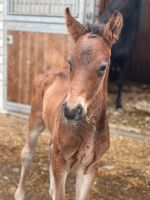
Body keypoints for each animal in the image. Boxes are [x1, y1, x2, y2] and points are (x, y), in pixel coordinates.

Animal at [14, 8, 123, 200]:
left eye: (103, 67)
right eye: (70, 62)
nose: (72, 111)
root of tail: (48, 72)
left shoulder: (90, 167)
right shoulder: (61, 162)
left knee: (50, 148)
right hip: (35, 119)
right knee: (28, 153)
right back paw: (19, 193)